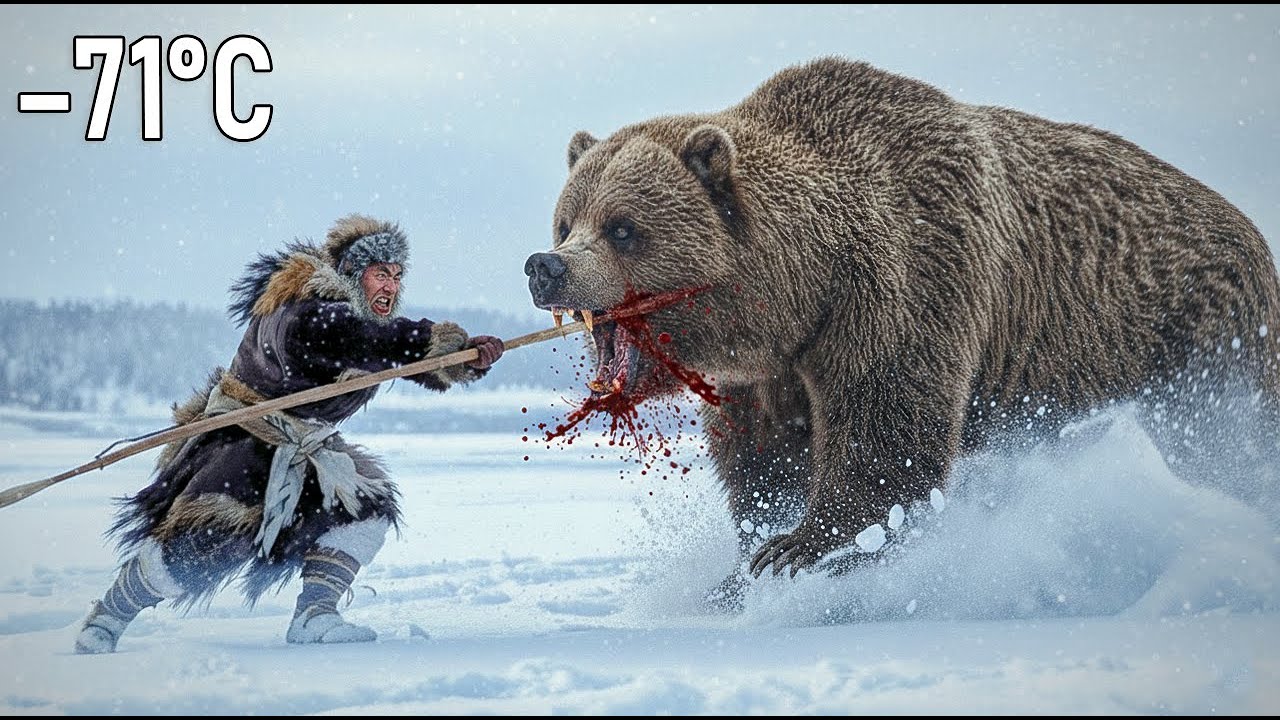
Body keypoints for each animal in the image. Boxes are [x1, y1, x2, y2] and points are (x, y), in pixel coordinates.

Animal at [523, 56, 1280, 602]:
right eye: (566, 219)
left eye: (623, 228)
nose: (547, 267)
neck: (805, 289)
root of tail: (1252, 231)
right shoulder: (764, 374)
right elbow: (763, 462)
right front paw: (747, 559)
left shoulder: (911, 280)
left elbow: (886, 429)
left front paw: (800, 550)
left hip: (1202, 343)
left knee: (1221, 441)